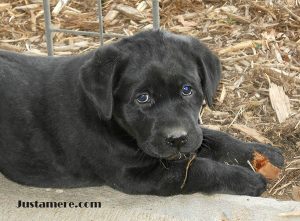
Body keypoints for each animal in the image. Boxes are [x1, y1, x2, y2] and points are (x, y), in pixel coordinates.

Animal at [0, 30, 284, 195]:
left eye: (187, 89)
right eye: (142, 98)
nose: (177, 139)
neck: (112, 123)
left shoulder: (193, 132)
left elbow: (215, 138)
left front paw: (262, 153)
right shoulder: (137, 175)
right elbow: (196, 169)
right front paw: (245, 179)